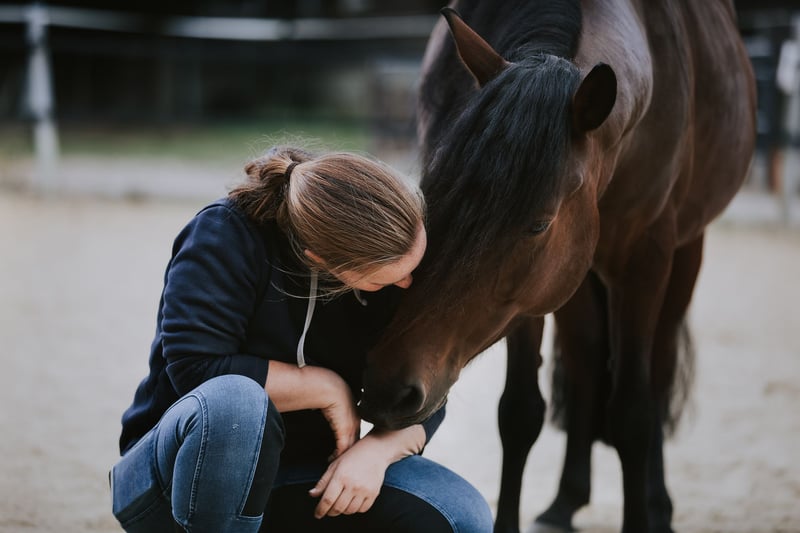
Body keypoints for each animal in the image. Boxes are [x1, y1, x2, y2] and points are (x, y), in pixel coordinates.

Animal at [357, 1, 756, 532]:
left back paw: (658, 504)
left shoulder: (644, 259)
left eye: (538, 225)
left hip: (685, 253)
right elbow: (520, 412)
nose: (387, 389)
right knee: (586, 360)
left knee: (658, 371)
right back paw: (566, 500)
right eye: (432, 194)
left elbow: (633, 413)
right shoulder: (525, 301)